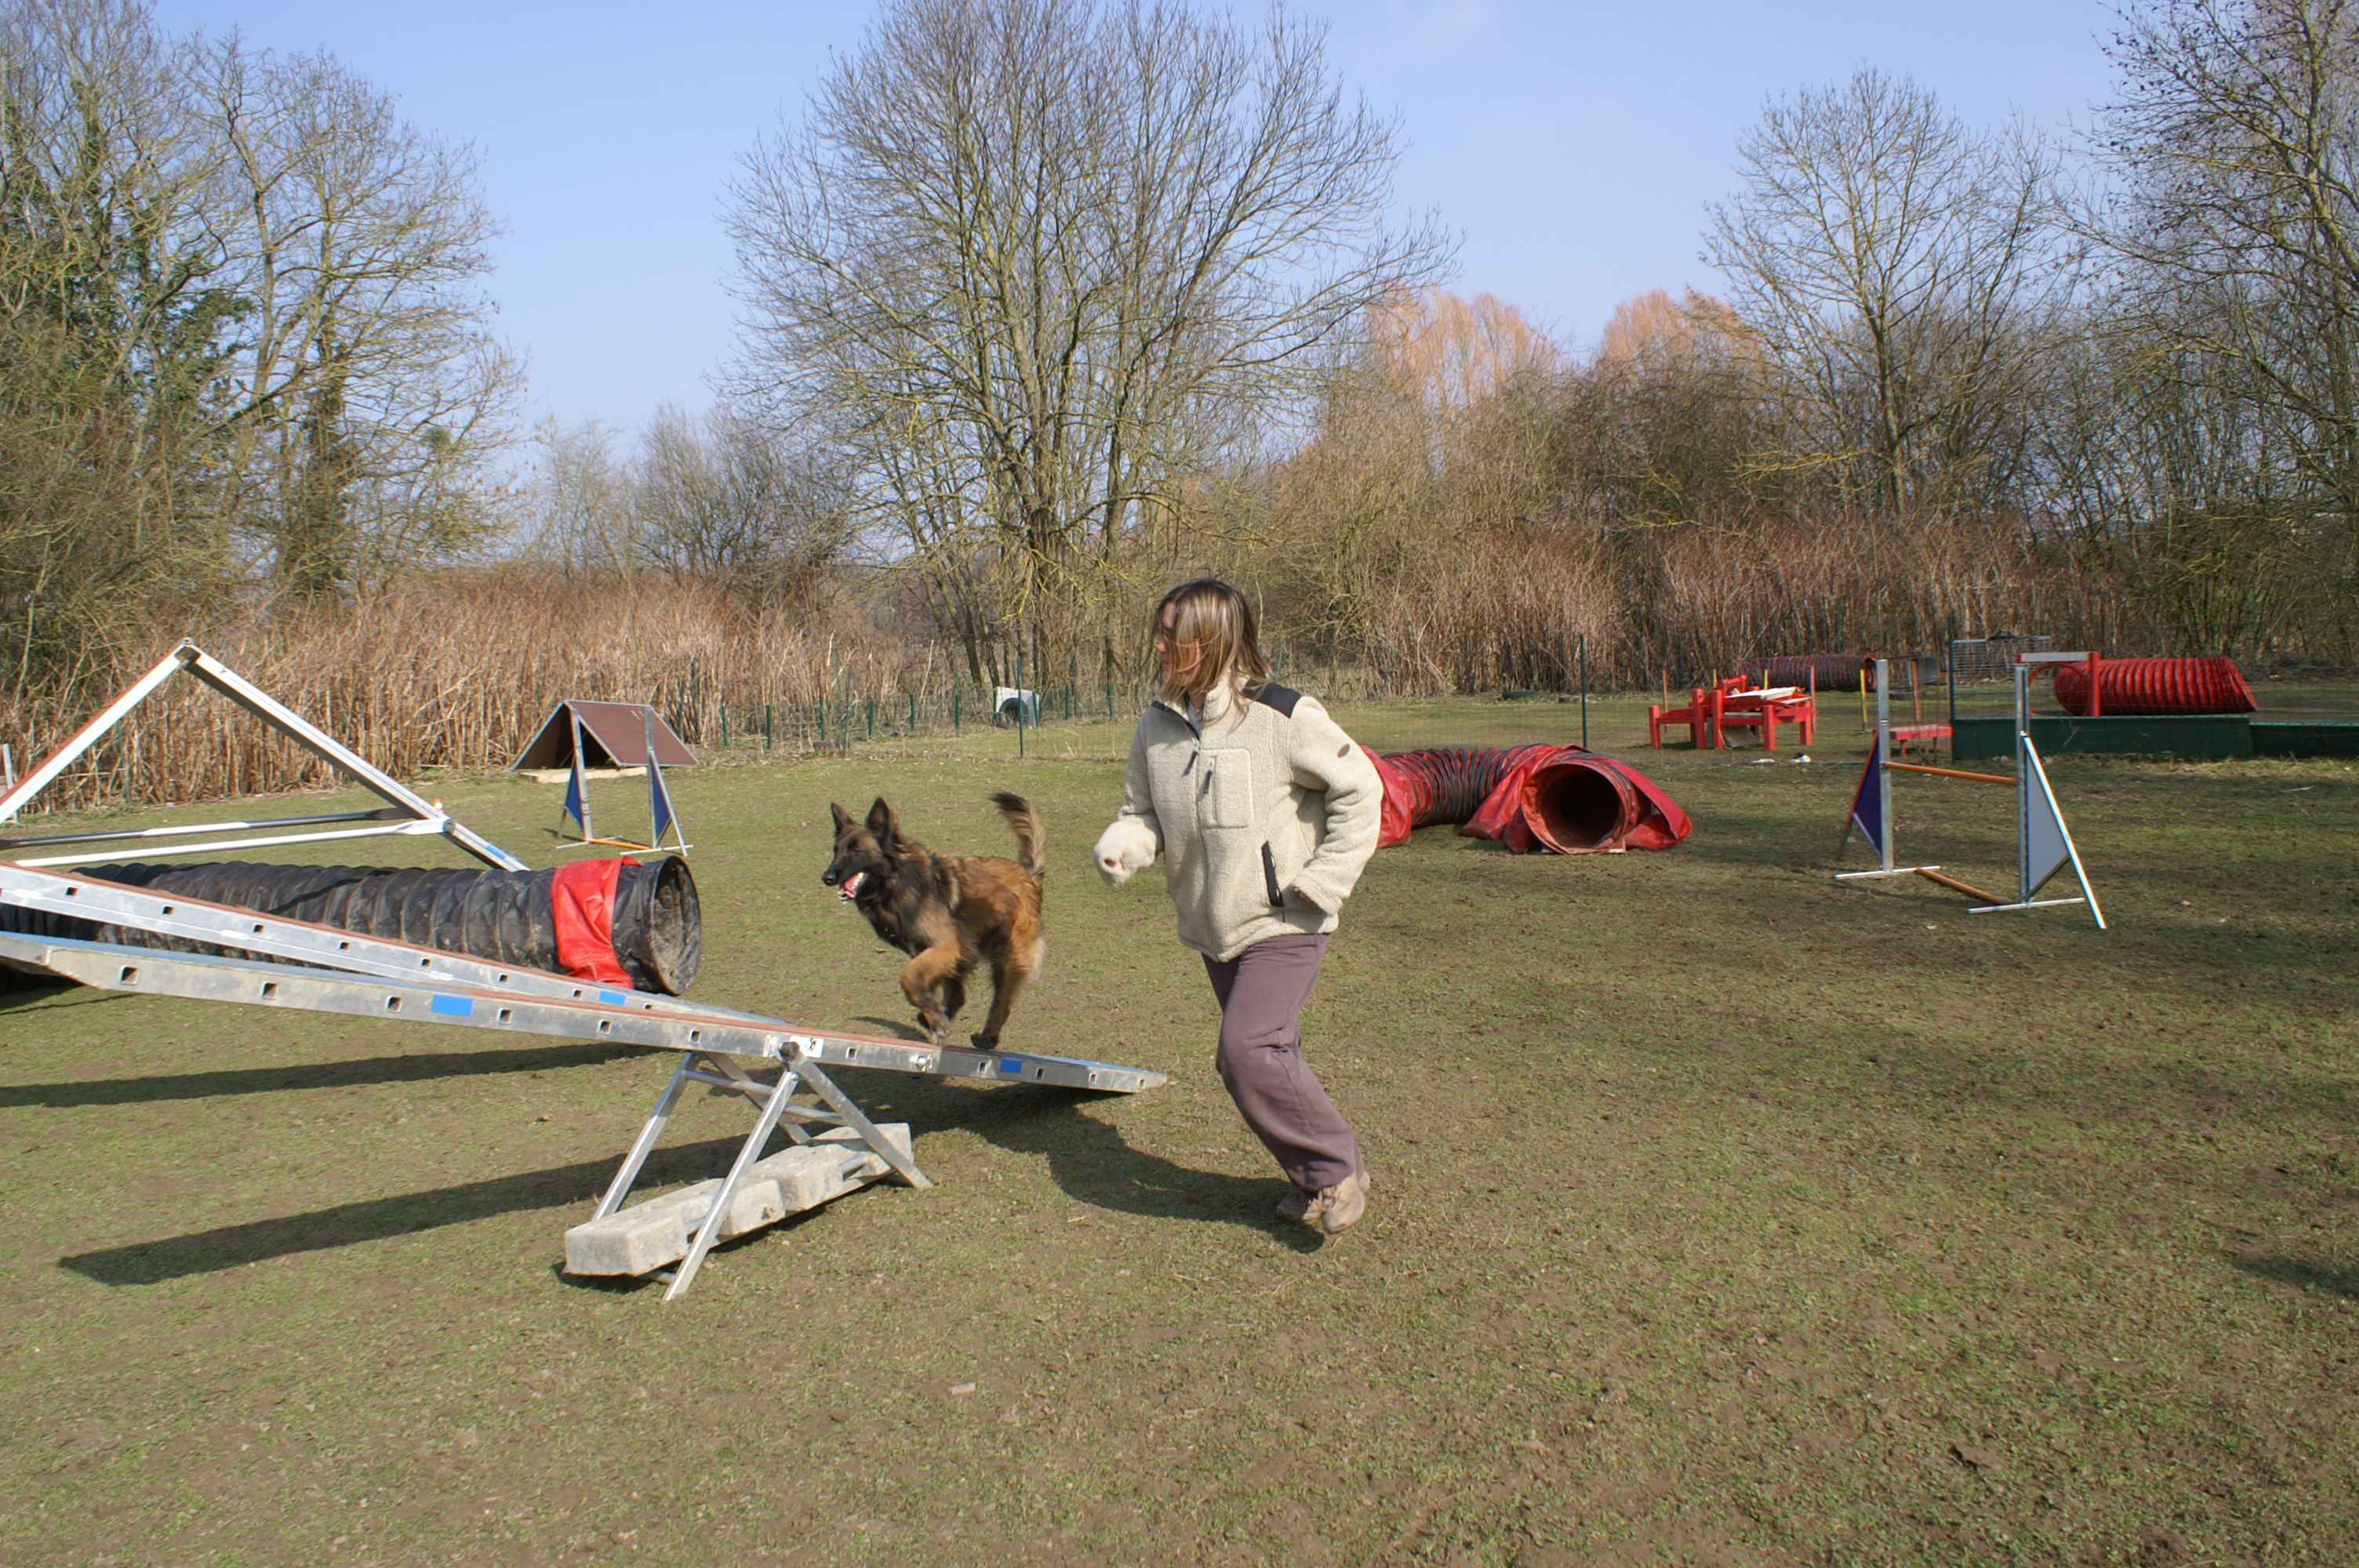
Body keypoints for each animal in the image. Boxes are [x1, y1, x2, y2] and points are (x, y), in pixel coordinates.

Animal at [822, 792, 1046, 1049]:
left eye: (856, 850)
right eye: (836, 850)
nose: (827, 877)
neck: (896, 883)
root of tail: (1028, 874)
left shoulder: (945, 946)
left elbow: (909, 978)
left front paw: (935, 1019)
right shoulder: (929, 950)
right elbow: (922, 984)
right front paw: (933, 1015)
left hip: (1005, 956)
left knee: (1002, 999)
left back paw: (987, 1036)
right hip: (968, 949)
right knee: (959, 995)